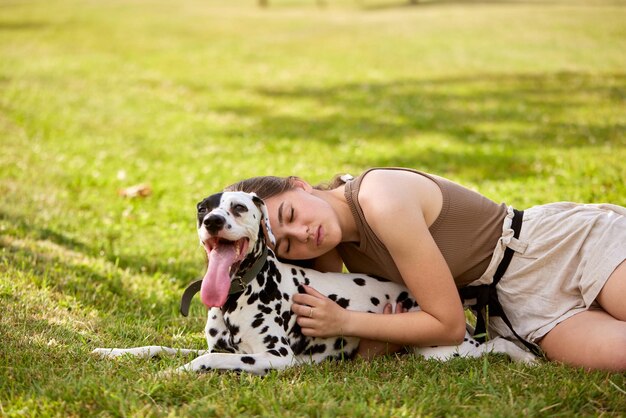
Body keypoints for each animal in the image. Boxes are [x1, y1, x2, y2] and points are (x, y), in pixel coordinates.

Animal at [92, 191, 532, 374]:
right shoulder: (219, 345)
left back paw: (526, 358)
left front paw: (173, 372)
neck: (237, 297)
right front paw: (113, 352)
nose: (212, 221)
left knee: (498, 344)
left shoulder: (275, 357)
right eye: (203, 208)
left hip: (443, 351)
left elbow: (204, 360)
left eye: (238, 207)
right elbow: (159, 347)